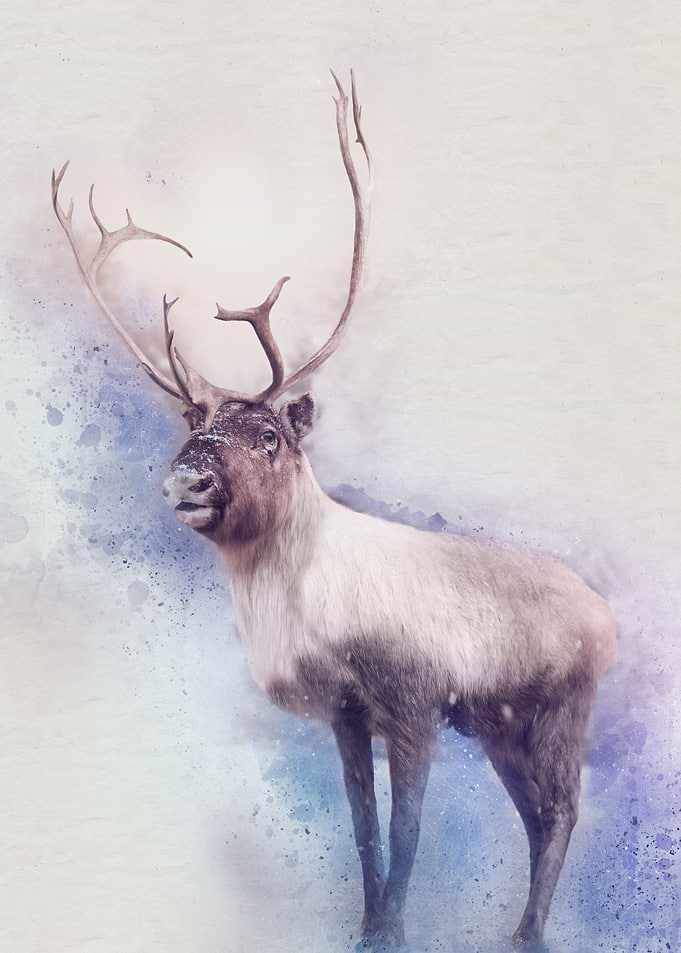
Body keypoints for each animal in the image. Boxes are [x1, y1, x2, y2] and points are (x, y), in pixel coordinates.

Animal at [51, 71, 616, 951]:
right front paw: (366, 925)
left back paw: (527, 933)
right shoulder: (349, 717)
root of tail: (606, 617)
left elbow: (408, 831)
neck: (310, 607)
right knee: (534, 817)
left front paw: (391, 932)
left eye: (270, 434)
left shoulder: (414, 706)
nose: (188, 480)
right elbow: (363, 829)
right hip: (497, 724)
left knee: (558, 814)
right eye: (192, 425)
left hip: (552, 711)